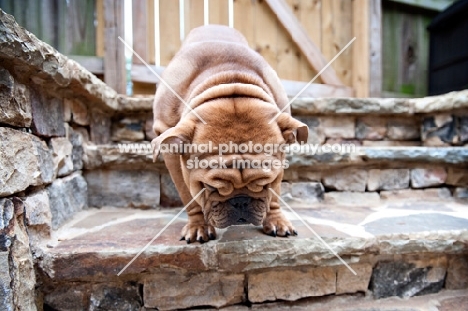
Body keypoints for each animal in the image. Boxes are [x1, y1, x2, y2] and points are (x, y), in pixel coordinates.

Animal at [152, 25, 308, 244]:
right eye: (210, 187)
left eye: (264, 183)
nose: (241, 201)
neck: (229, 81)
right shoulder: (170, 148)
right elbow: (189, 195)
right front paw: (198, 225)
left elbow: (275, 194)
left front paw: (276, 220)